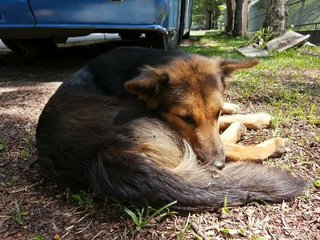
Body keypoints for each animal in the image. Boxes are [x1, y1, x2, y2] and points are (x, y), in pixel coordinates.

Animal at [36, 47, 306, 212]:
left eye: (216, 112)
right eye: (185, 118)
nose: (218, 165)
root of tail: (103, 153)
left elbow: (223, 120)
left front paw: (248, 114)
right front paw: (247, 123)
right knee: (226, 146)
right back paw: (264, 142)